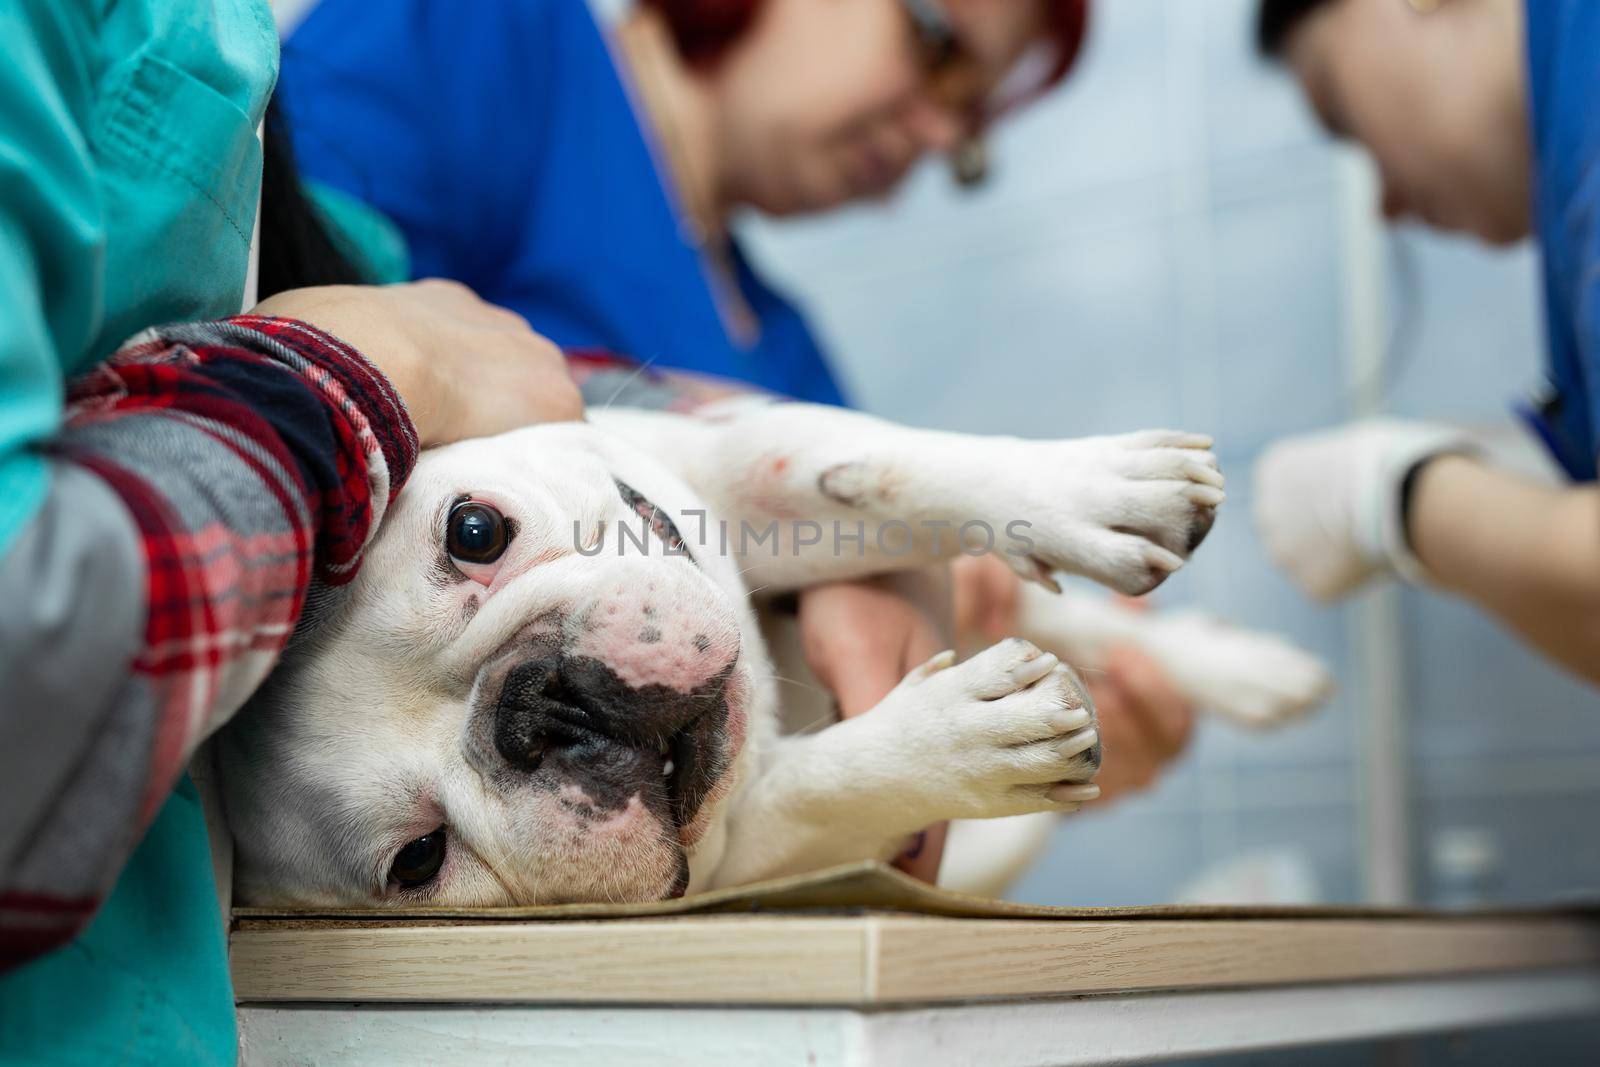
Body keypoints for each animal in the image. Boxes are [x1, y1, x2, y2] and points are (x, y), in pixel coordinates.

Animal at [219, 399, 1331, 908]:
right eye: (417, 860)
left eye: (475, 530)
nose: (543, 708)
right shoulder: (737, 857)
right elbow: (816, 787)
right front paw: (960, 741)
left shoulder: (721, 465)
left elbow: (870, 465)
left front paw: (1085, 486)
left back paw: (1253, 670)